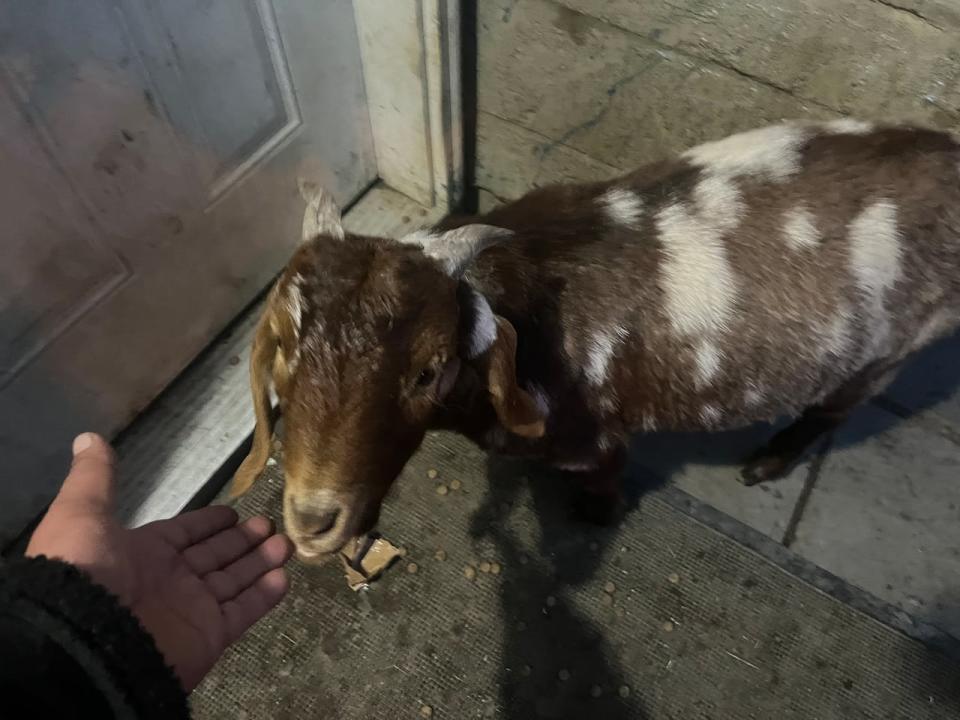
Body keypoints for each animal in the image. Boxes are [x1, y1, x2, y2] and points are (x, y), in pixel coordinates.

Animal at [231, 121, 960, 556]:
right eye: (284, 353)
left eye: (428, 369)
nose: (313, 521)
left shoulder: (595, 436)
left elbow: (608, 476)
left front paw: (593, 515)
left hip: (895, 346)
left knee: (837, 407)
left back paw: (767, 463)